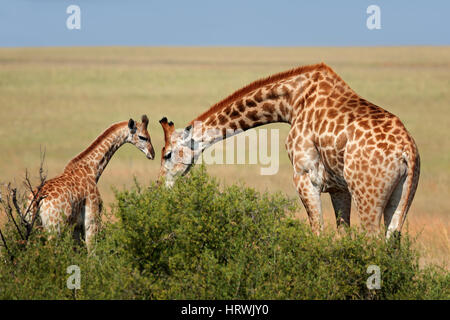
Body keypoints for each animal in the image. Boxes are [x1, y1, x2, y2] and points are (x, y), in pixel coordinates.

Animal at [157, 63, 418, 238]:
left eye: (167, 154)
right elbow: (342, 235)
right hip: (400, 197)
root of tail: (407, 151)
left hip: (367, 196)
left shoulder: (304, 176)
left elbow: (318, 233)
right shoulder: (339, 188)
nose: (159, 187)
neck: (291, 102)